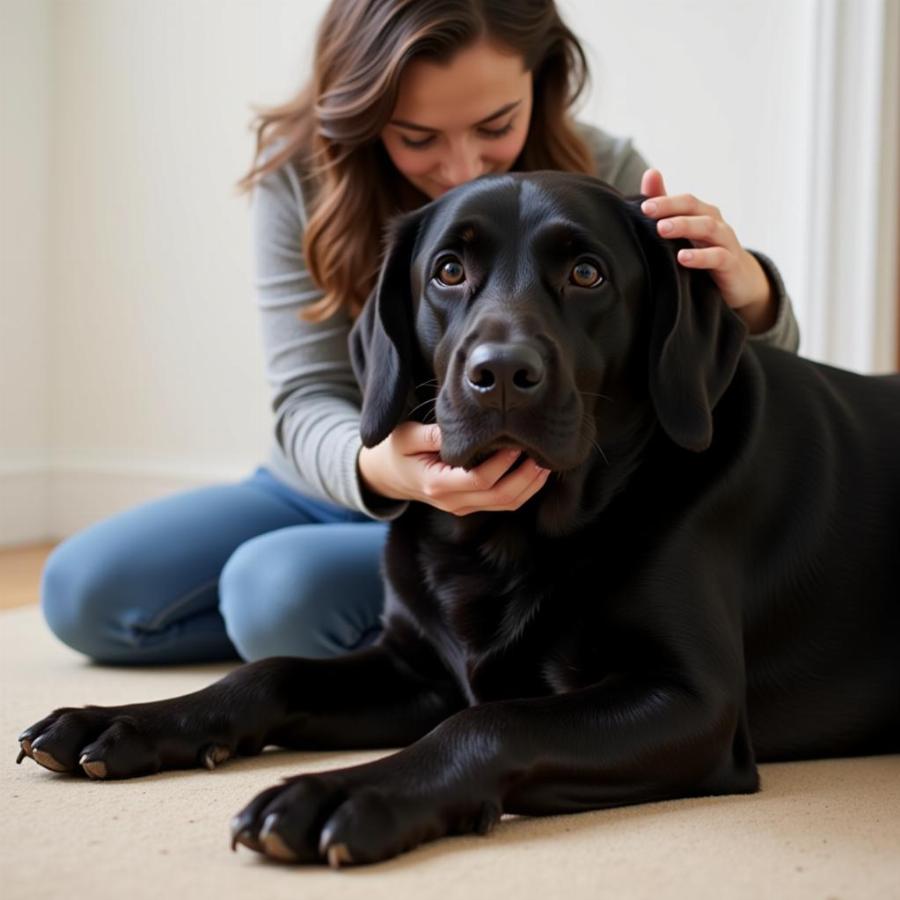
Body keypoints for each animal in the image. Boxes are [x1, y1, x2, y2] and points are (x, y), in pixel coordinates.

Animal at [15, 172, 900, 868]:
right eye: (448, 270)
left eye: (587, 273)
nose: (500, 374)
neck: (509, 541)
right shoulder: (417, 669)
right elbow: (267, 672)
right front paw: (119, 721)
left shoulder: (693, 702)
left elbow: (491, 722)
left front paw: (339, 795)